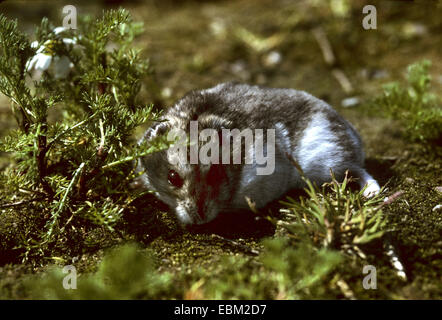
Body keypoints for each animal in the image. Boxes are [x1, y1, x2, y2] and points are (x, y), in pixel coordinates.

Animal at [138, 82, 380, 228]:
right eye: (172, 178)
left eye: (216, 173)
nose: (200, 220)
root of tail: (355, 138)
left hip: (325, 161)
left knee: (359, 171)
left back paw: (372, 192)